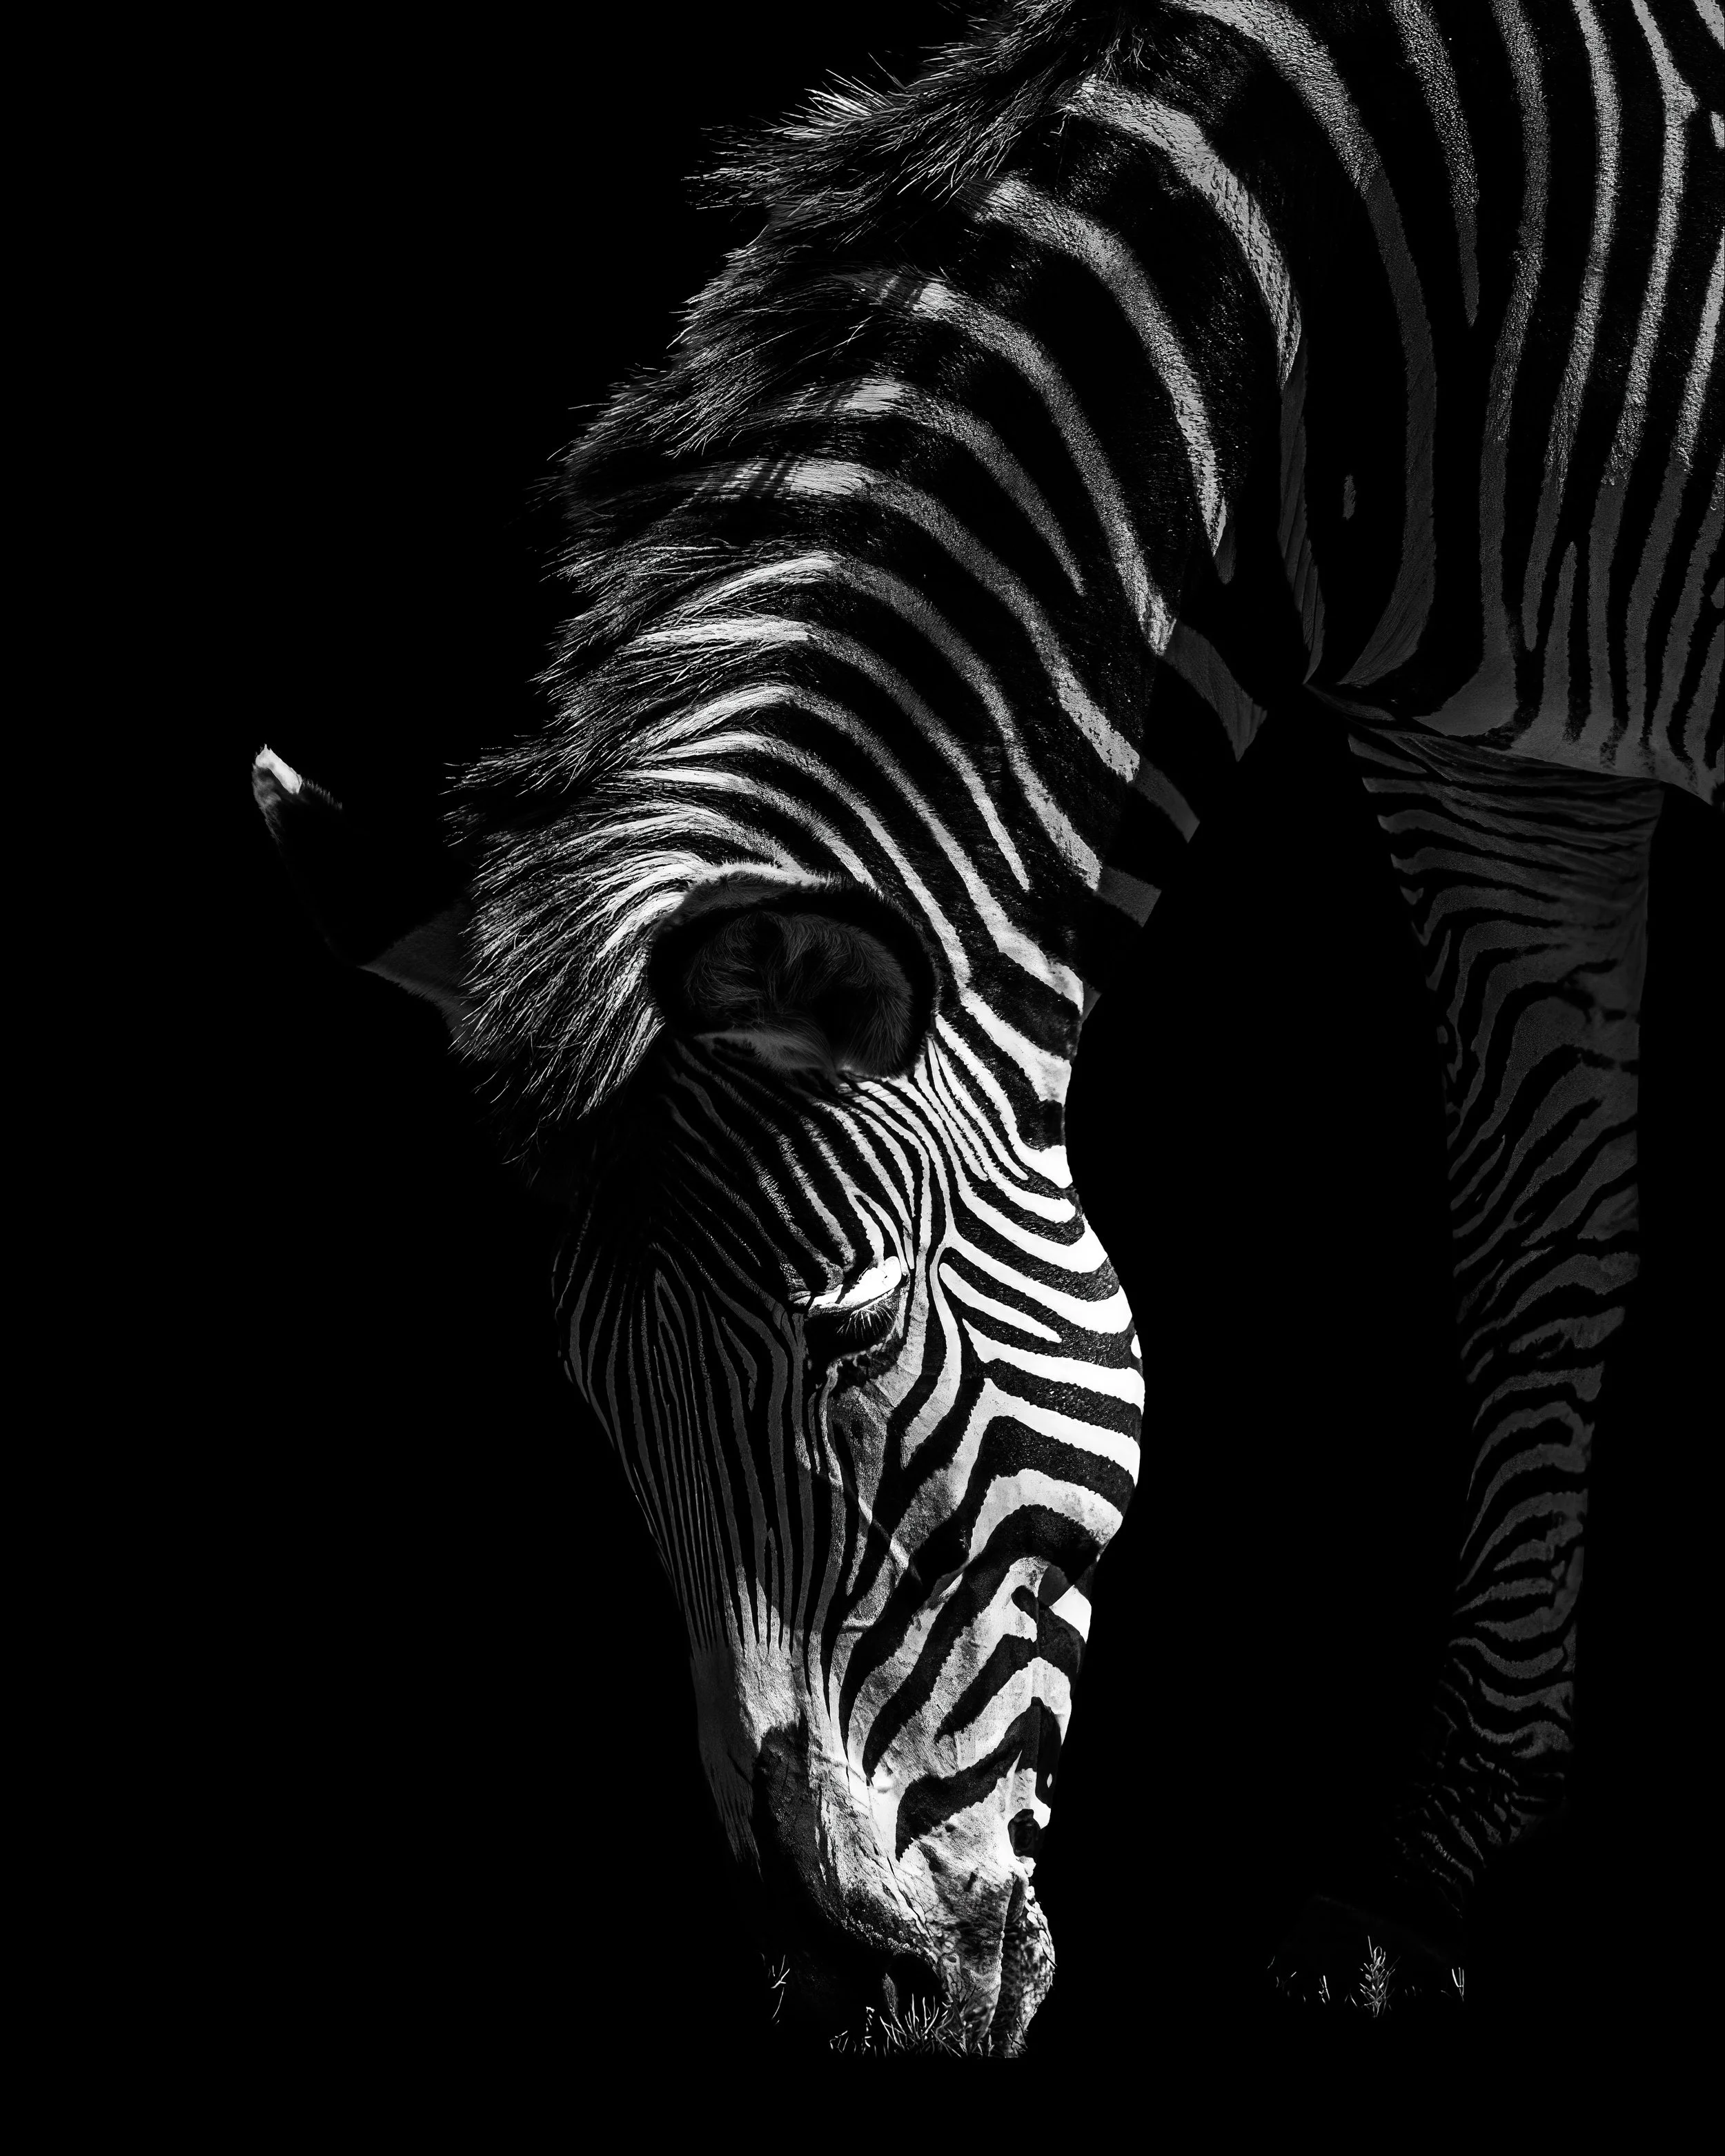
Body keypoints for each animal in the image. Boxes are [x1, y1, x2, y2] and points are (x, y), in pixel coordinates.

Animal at [253, 0, 1721, 2051]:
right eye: (590, 1392)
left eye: (854, 1339)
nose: (856, 2002)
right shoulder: (1491, 748)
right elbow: (1537, 1245)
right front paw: (1426, 1861)